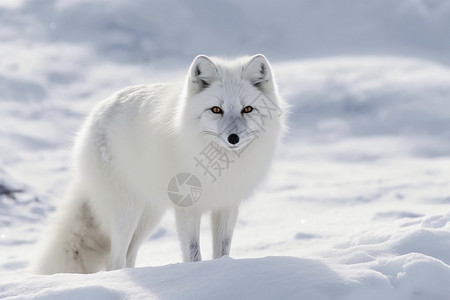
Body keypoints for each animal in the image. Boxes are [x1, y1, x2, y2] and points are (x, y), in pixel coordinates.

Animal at [33, 54, 286, 274]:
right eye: (216, 109)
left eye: (247, 109)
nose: (233, 138)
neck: (223, 166)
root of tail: (95, 115)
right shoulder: (186, 208)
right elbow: (193, 253)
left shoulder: (227, 204)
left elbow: (222, 251)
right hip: (127, 212)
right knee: (115, 260)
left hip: (149, 217)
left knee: (129, 256)